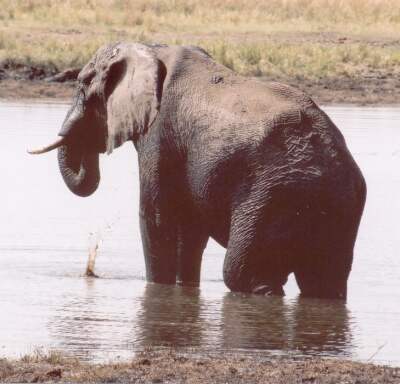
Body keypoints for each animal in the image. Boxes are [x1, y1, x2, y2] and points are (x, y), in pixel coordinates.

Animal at [29, 42, 368, 300]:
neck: (150, 50)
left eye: (83, 84)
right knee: (324, 279)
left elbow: (158, 219)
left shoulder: (160, 134)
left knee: (244, 273)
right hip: (337, 205)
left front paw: (157, 289)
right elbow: (188, 230)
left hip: (273, 196)